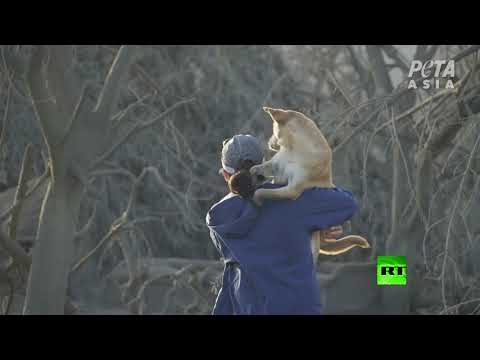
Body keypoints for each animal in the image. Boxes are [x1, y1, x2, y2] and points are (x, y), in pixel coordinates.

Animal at [249, 107, 370, 262]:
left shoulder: (293, 189)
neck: (295, 149)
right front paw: (252, 174)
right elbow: (259, 168)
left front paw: (256, 198)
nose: (269, 142)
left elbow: (264, 192)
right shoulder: (275, 166)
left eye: (273, 128)